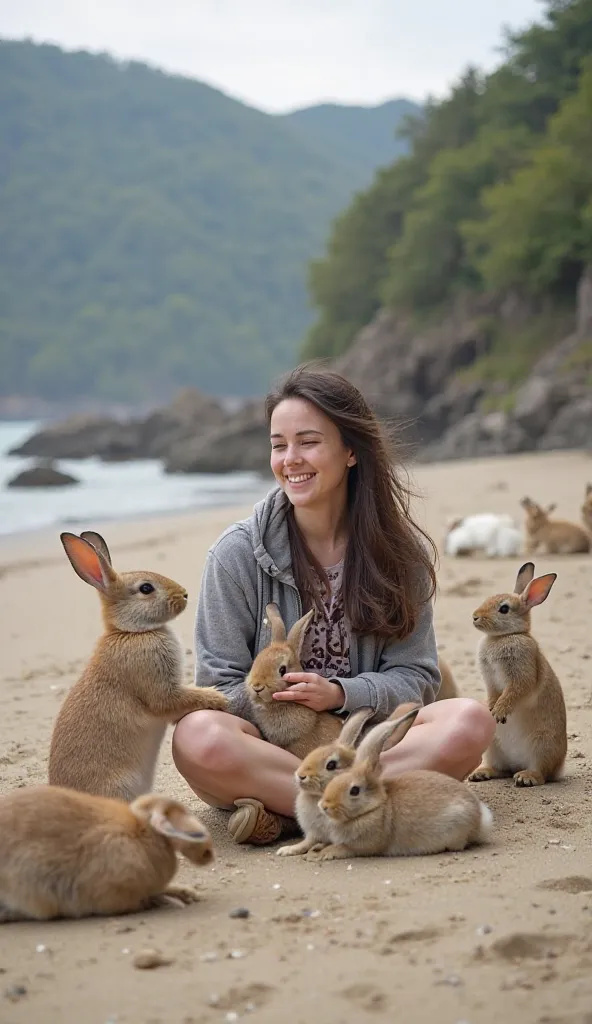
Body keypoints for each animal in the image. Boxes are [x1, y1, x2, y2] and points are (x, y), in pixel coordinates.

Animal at [48, 532, 227, 802]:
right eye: (146, 588)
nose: (184, 594)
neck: (131, 632)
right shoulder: (162, 690)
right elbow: (176, 699)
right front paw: (219, 698)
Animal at [313, 708, 493, 860]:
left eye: (354, 790)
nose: (324, 806)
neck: (376, 806)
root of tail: (481, 819)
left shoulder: (364, 845)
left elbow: (346, 848)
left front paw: (324, 853)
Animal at [464, 561, 565, 790]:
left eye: (504, 609)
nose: (475, 616)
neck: (505, 636)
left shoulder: (520, 675)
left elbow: (513, 692)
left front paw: (499, 712)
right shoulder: (491, 682)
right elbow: (494, 694)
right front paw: (491, 708)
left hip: (542, 744)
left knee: (541, 774)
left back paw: (526, 777)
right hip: (492, 747)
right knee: (501, 770)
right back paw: (481, 773)